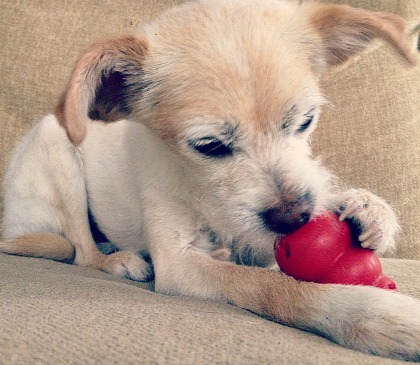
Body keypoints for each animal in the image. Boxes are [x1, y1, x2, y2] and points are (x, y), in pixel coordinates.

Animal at [0, 0, 420, 358]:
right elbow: (271, 286)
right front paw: (374, 313)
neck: (203, 195)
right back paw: (119, 260)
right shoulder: (179, 267)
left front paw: (366, 208)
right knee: (81, 253)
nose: (295, 217)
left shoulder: (259, 235)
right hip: (57, 144)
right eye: (209, 146)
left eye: (305, 121)